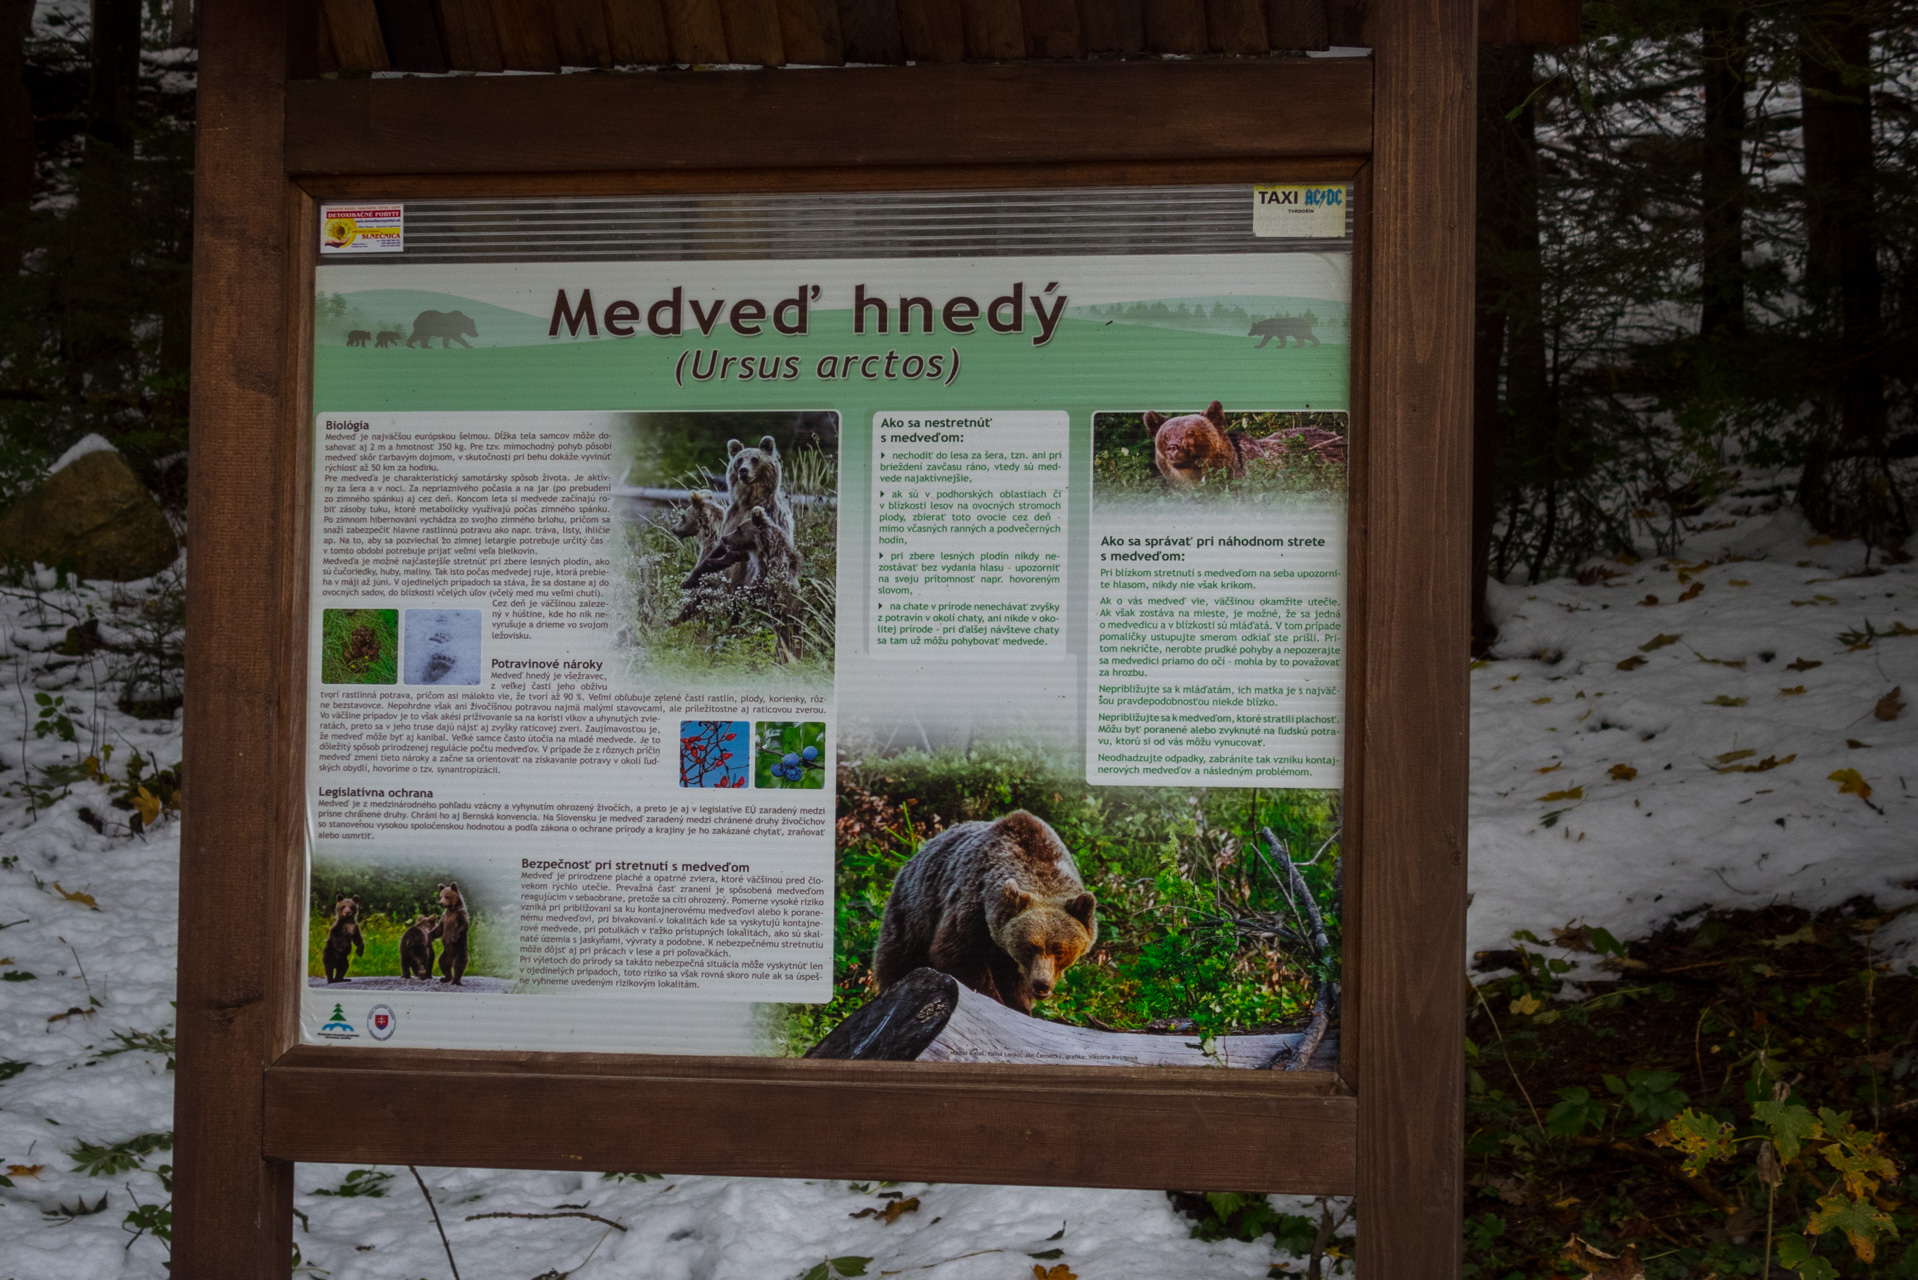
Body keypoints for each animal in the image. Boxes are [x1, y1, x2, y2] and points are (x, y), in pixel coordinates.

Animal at [874, 817, 1097, 1013]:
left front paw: (1020, 1006)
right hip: (914, 911)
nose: (1041, 984)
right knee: (898, 958)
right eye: (1029, 947)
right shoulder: (972, 909)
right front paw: (993, 997)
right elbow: (958, 954)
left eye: (1060, 951)